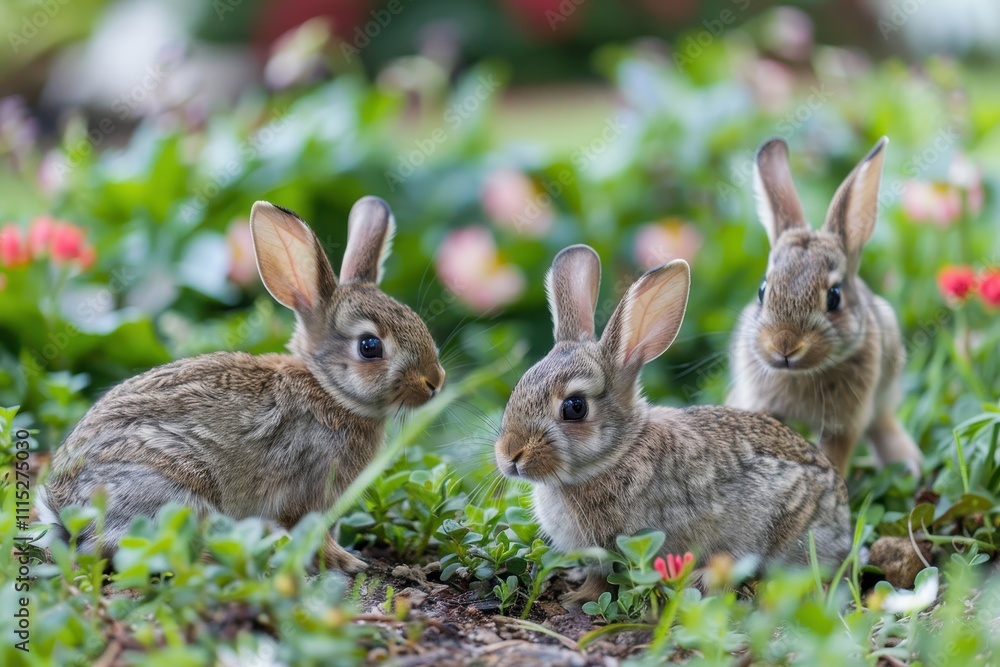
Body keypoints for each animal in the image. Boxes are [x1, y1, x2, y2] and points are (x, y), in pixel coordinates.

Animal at [37, 197, 446, 573]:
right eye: (370, 346)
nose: (435, 382)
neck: (329, 391)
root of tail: (63, 508)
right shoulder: (306, 493)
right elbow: (313, 532)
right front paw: (347, 562)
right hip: (175, 492)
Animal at [494, 245, 853, 604]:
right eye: (520, 384)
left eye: (574, 407)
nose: (510, 455)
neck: (618, 453)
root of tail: (842, 517)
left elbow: (602, 582)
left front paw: (576, 599)